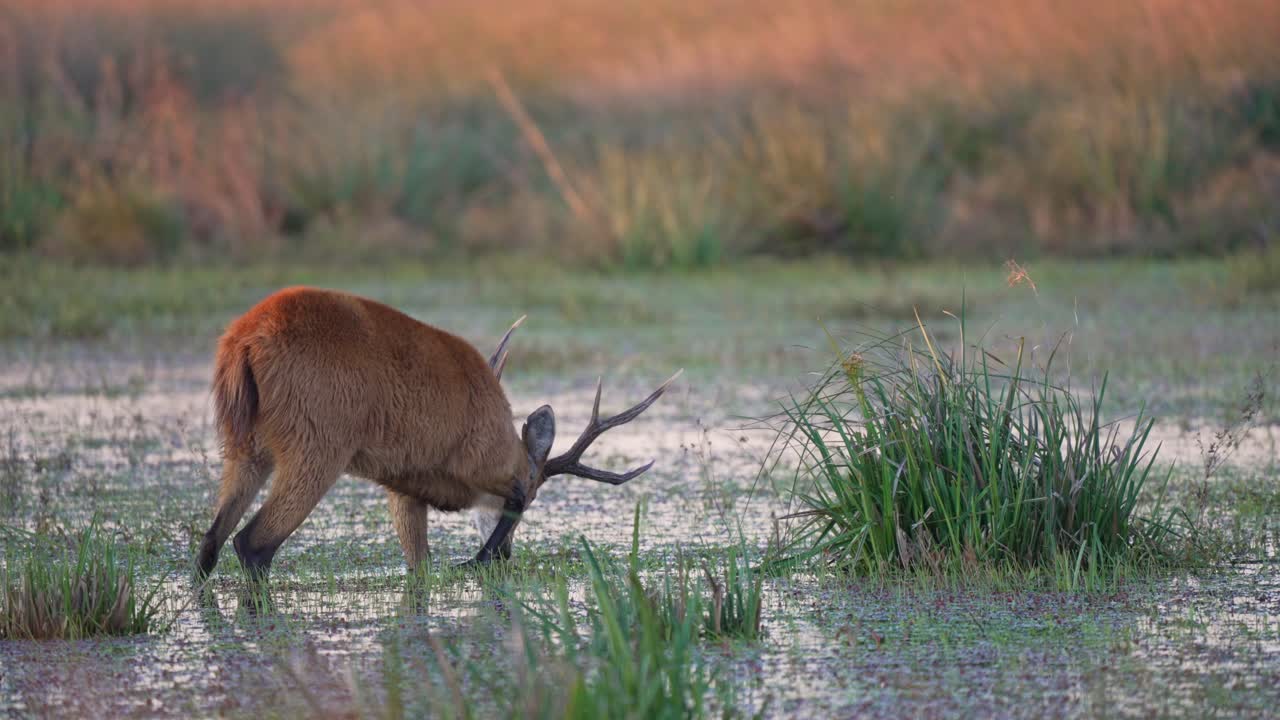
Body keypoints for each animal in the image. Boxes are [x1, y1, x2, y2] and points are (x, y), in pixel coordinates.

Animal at [194, 286, 679, 581]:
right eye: (538, 495)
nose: (508, 554)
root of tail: (243, 342)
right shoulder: (477, 456)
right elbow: (509, 495)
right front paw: (476, 560)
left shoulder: (401, 481)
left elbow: (419, 565)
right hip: (318, 442)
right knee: (253, 543)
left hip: (244, 445)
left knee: (211, 542)